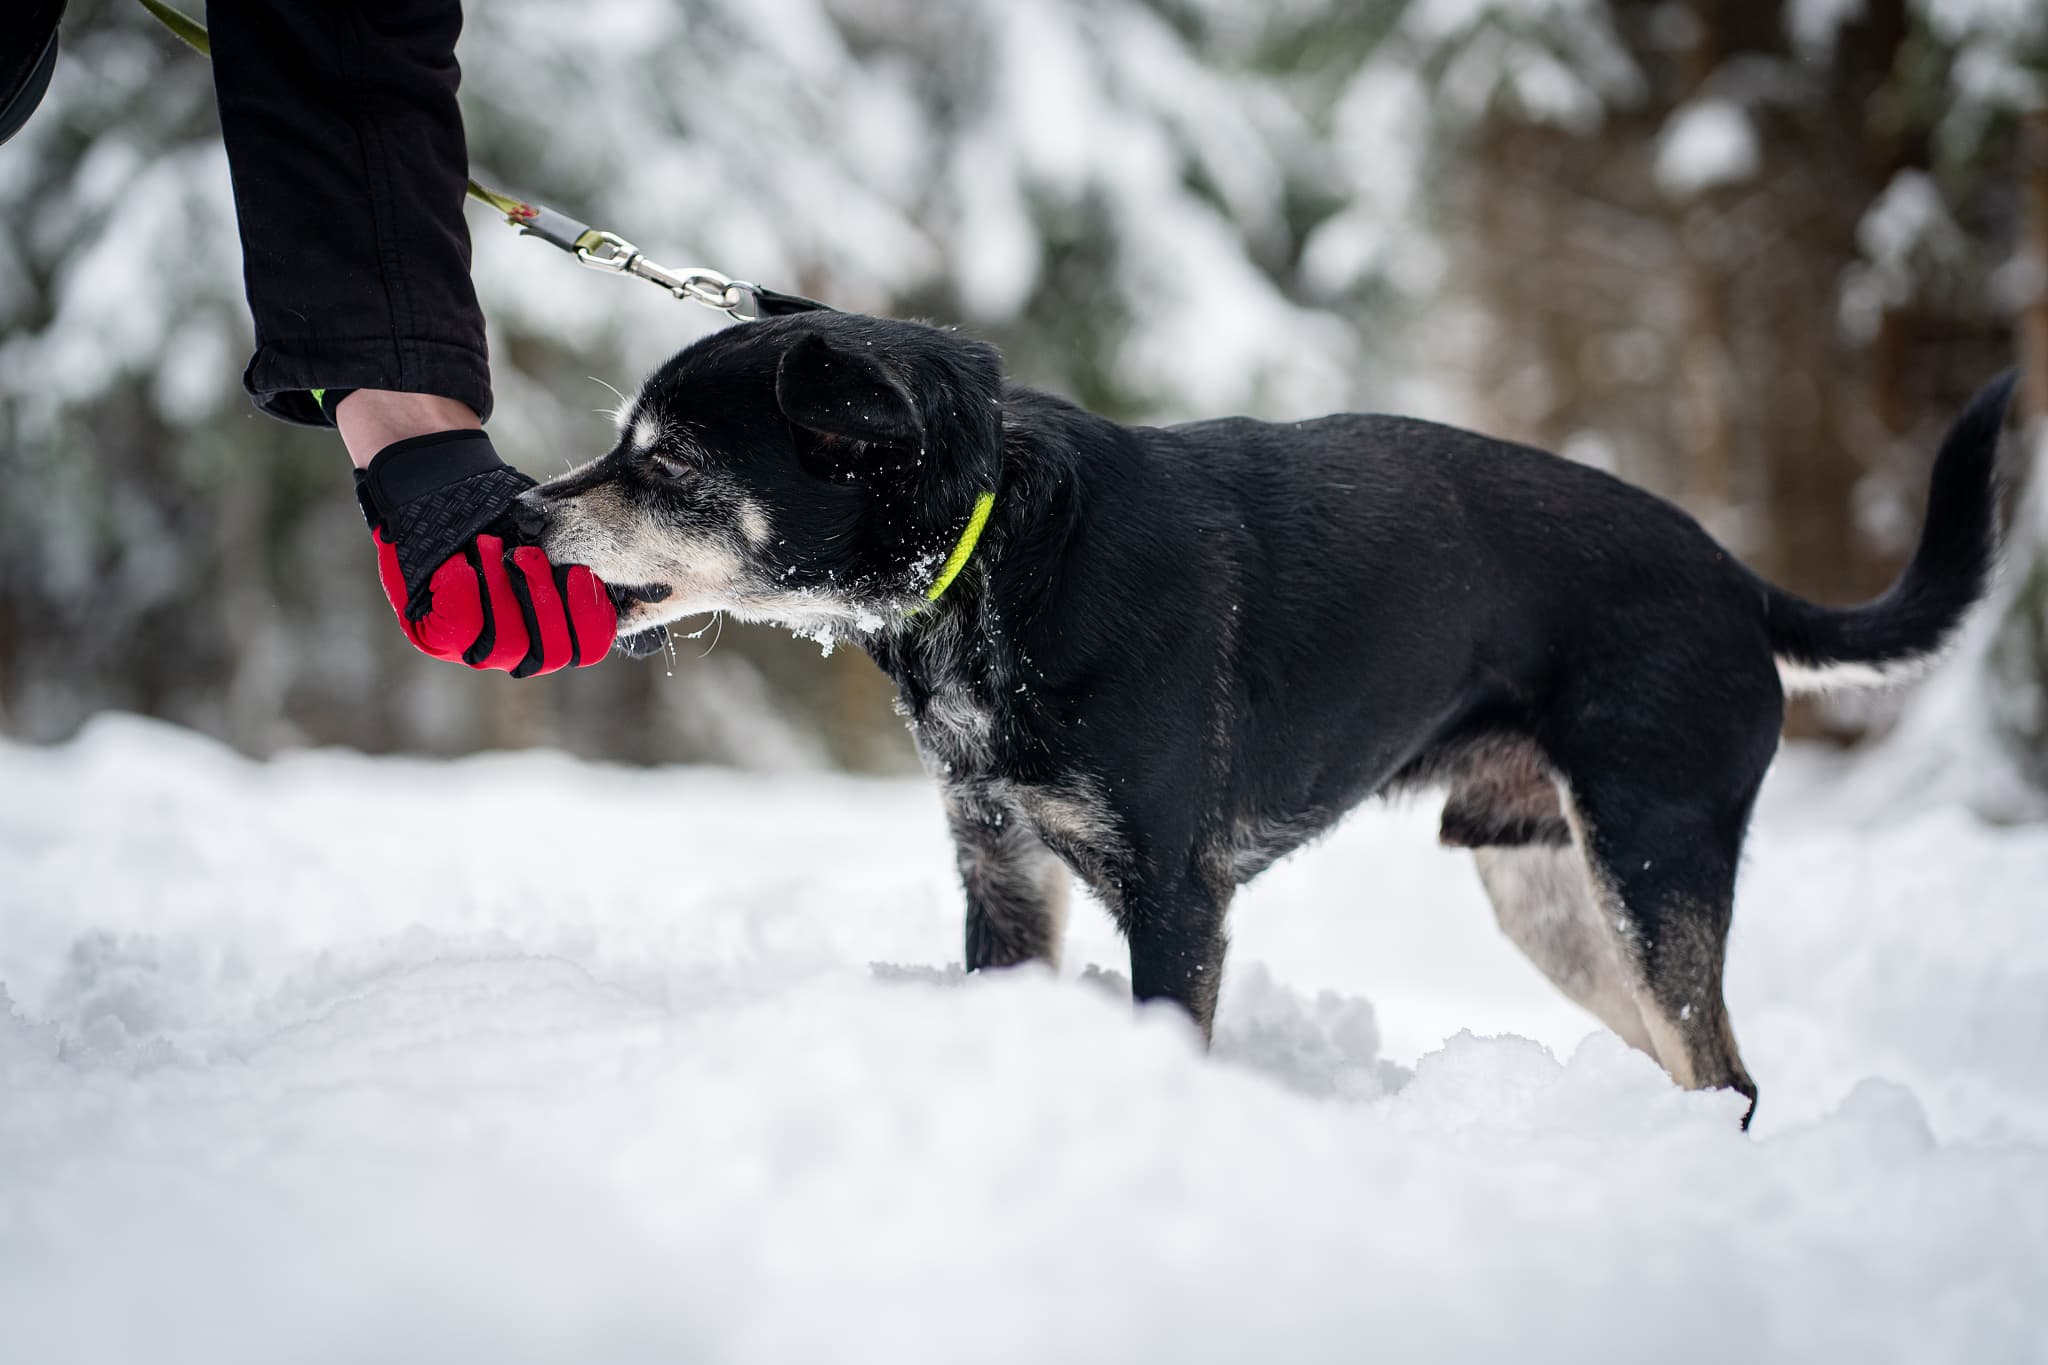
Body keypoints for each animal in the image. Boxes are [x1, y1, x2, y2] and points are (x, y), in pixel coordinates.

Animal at [525, 310, 2014, 1125]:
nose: (525, 512)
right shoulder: (999, 865)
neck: (1001, 549)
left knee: (1723, 1069)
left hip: (1651, 862)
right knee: (1701, 1068)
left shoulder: (1176, 892)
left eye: (669, 463)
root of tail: (1740, 584)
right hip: (1552, 896)